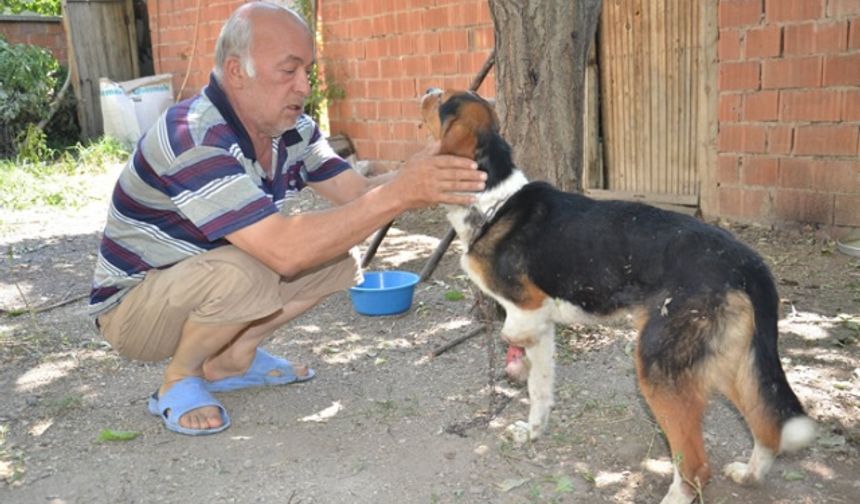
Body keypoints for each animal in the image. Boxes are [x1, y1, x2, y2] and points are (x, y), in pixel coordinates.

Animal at [420, 89, 816, 504]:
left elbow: (518, 350)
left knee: (695, 465)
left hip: (659, 367)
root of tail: (746, 260)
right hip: (730, 361)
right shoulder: (542, 325)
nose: (427, 91)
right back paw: (750, 474)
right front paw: (533, 433)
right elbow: (539, 390)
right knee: (767, 426)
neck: (493, 200)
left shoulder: (526, 312)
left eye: (443, 102)